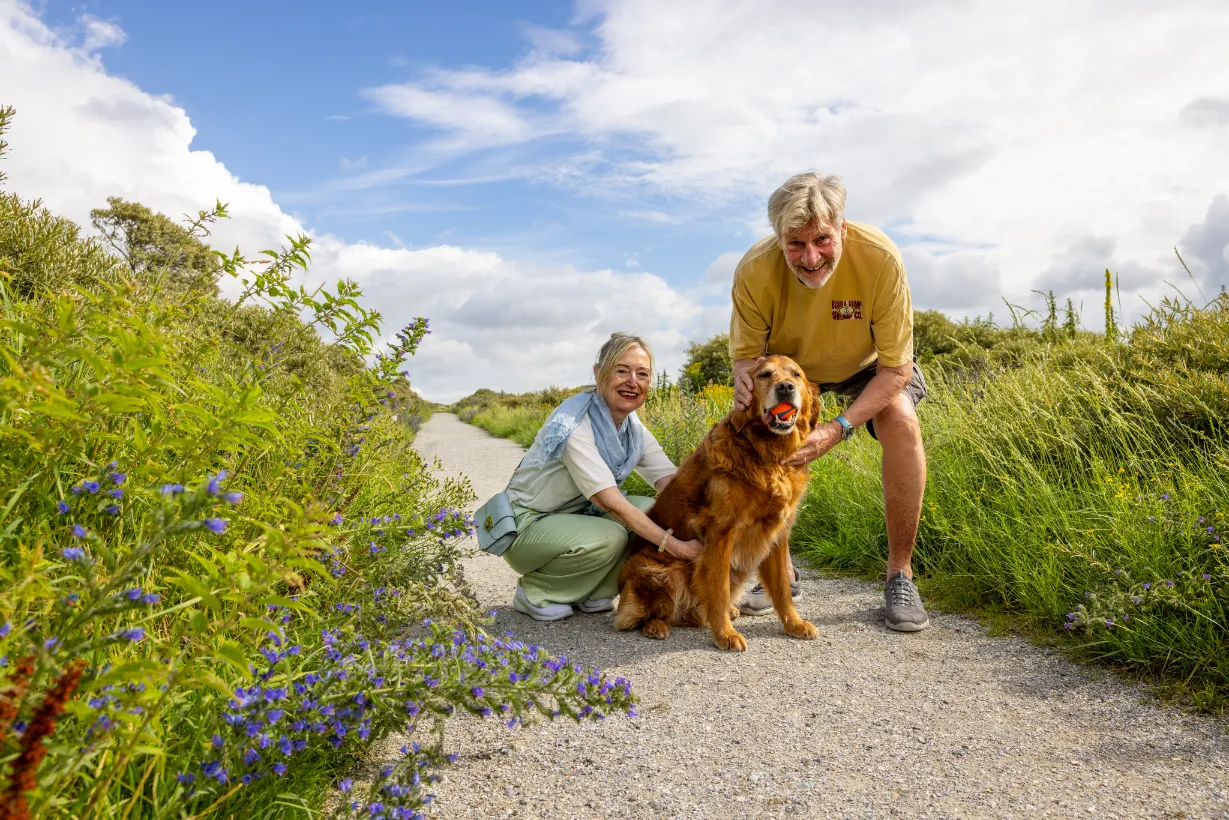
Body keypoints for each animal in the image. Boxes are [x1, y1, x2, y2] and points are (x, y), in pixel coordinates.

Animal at [619, 356, 820, 649]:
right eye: (764, 375)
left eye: (796, 375)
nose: (785, 387)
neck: (768, 455)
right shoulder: (721, 533)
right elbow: (719, 589)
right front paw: (725, 634)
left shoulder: (777, 534)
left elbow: (782, 587)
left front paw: (793, 624)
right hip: (659, 569)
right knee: (646, 615)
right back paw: (656, 626)